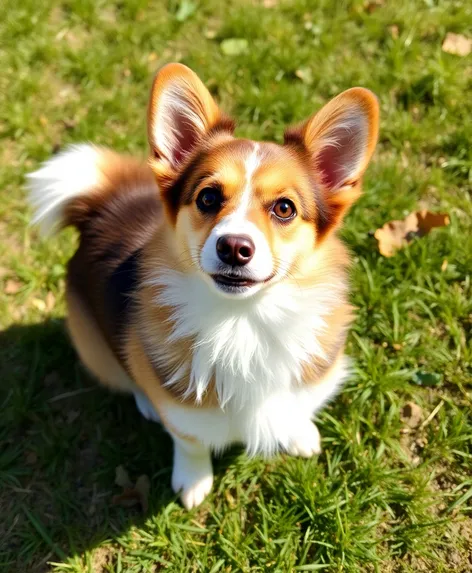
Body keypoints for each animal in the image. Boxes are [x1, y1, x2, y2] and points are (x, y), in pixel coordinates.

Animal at [26, 63, 380, 510]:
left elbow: (297, 408)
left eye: (285, 208)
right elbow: (190, 442)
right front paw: (193, 481)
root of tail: (102, 208)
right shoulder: (182, 415)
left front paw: (299, 434)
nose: (234, 248)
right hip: (95, 349)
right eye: (208, 197)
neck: (244, 321)